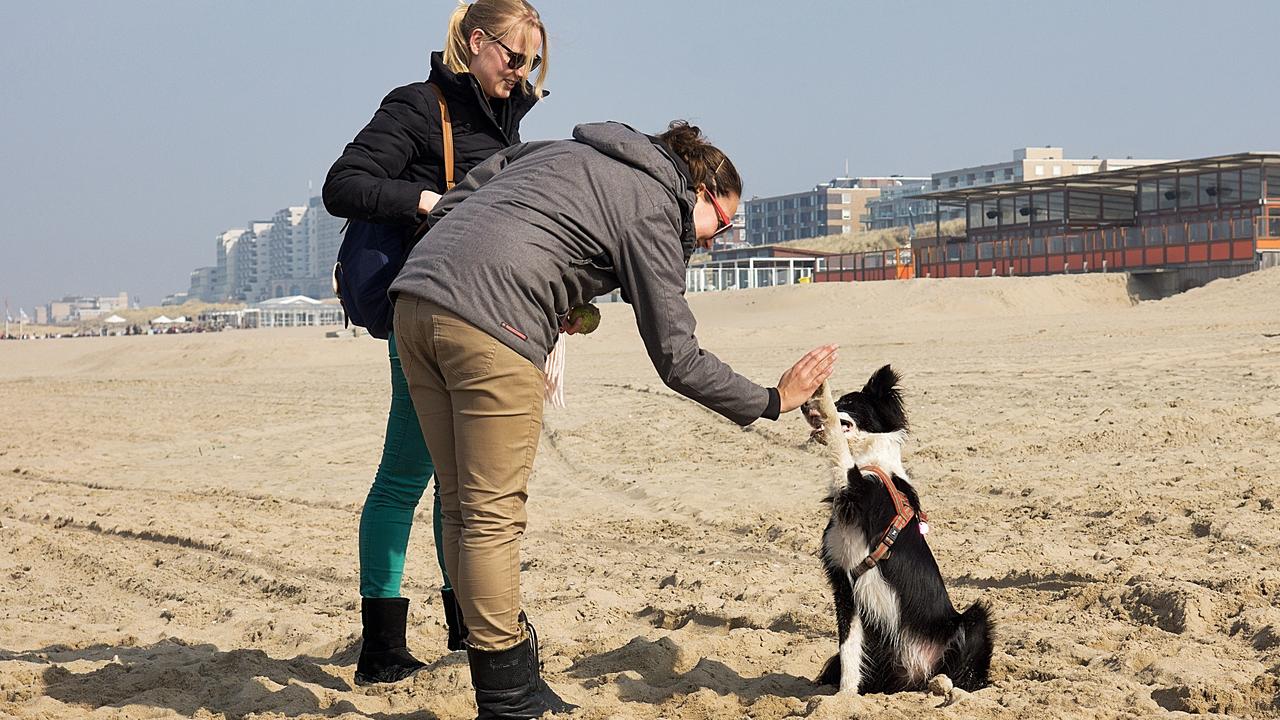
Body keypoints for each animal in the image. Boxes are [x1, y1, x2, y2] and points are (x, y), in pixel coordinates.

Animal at [803, 363, 993, 691]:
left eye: (848, 402)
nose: (803, 407)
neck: (872, 462)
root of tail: (916, 673)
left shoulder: (858, 489)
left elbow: (838, 444)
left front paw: (820, 390)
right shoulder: (845, 584)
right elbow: (849, 650)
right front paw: (844, 697)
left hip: (975, 618)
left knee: (965, 674)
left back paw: (946, 685)